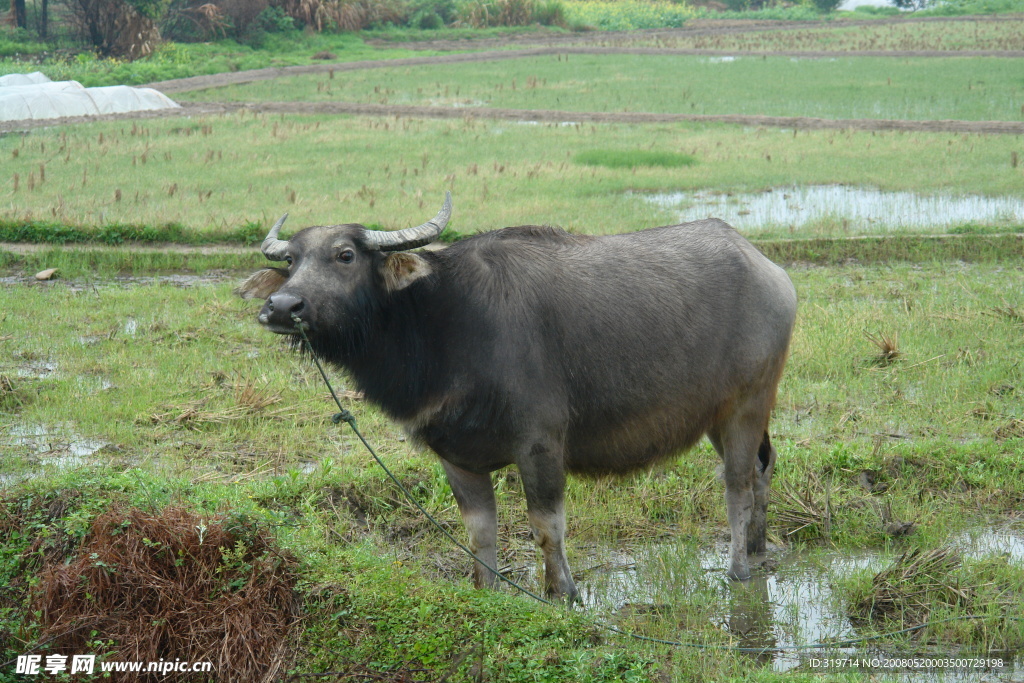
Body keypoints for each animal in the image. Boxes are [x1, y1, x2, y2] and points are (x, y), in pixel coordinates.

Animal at [239, 192, 798, 598]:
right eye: (291, 261)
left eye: (345, 254)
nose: (282, 306)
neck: (440, 325)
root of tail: (769, 270)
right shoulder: (456, 457)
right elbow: (479, 533)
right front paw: (486, 589)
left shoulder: (540, 445)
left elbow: (546, 525)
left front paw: (562, 591)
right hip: (718, 417)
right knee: (762, 470)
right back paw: (758, 549)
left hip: (747, 405)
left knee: (738, 485)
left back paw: (737, 570)